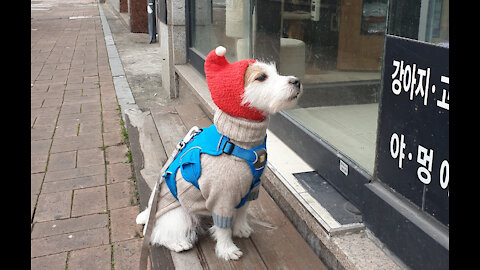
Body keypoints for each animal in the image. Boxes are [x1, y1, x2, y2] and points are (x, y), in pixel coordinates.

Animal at [135, 46, 302, 260]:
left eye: (276, 72)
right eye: (261, 77)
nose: (296, 81)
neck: (238, 139)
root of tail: (151, 211)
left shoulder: (250, 189)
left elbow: (242, 212)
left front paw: (240, 229)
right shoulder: (222, 197)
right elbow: (223, 227)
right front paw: (227, 249)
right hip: (180, 215)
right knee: (160, 233)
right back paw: (178, 243)